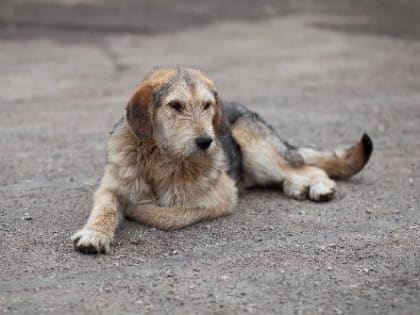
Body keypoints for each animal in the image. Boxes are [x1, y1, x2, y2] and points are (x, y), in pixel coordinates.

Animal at [72, 66, 374, 254]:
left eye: (207, 105)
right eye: (175, 106)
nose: (206, 142)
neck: (162, 158)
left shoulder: (222, 196)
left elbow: (169, 215)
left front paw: (137, 209)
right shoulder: (111, 186)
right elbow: (106, 208)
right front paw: (94, 234)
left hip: (259, 151)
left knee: (307, 167)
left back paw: (320, 187)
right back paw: (296, 187)